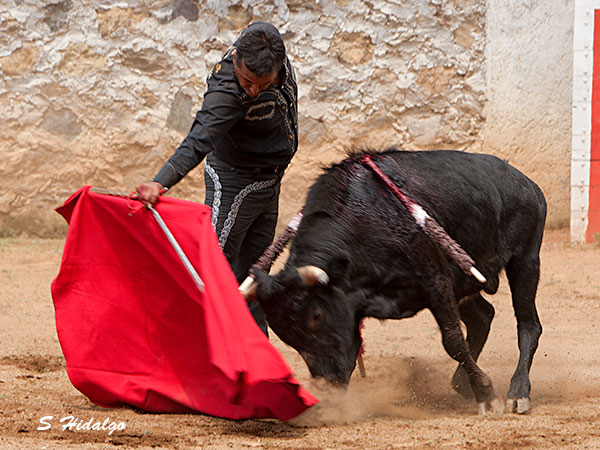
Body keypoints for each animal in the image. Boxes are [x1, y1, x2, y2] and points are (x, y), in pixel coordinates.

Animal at [251, 149, 548, 416]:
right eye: (284, 334)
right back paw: (462, 383)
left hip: (525, 261)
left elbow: (452, 341)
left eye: (316, 315)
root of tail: (528, 184)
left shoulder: (436, 282)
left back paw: (518, 393)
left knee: (528, 325)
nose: (330, 383)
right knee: (483, 317)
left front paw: (487, 397)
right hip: (466, 284)